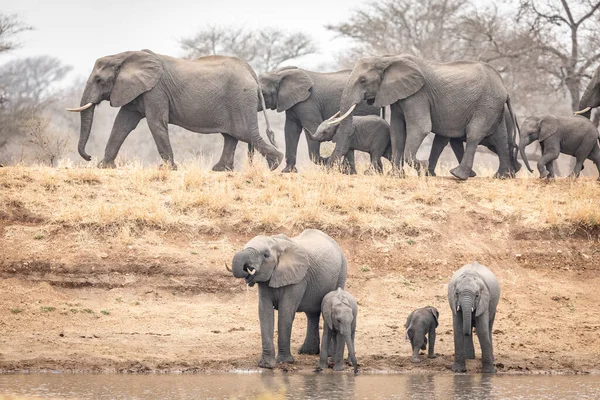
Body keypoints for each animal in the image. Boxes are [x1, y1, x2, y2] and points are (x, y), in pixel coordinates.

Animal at [66, 50, 284, 170]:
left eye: (99, 80)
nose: (88, 156)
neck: (124, 55)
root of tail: (251, 72)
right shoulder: (137, 90)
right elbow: (122, 124)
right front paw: (104, 167)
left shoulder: (155, 91)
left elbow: (155, 123)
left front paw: (168, 169)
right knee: (231, 135)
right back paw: (220, 170)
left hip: (240, 99)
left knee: (245, 133)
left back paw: (275, 165)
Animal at [227, 230, 346, 368]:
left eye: (266, 255)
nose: (247, 270)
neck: (276, 243)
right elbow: (264, 312)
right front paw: (266, 365)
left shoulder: (298, 279)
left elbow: (285, 312)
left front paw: (284, 362)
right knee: (312, 314)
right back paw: (308, 352)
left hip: (341, 272)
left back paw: (329, 355)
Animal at [318, 54, 520, 179]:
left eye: (362, 80)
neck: (388, 58)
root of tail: (504, 88)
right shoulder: (398, 94)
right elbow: (397, 130)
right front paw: (396, 176)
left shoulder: (418, 94)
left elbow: (421, 127)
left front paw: (421, 166)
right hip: (493, 106)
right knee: (500, 137)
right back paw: (503, 176)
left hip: (486, 103)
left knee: (474, 134)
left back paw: (458, 175)